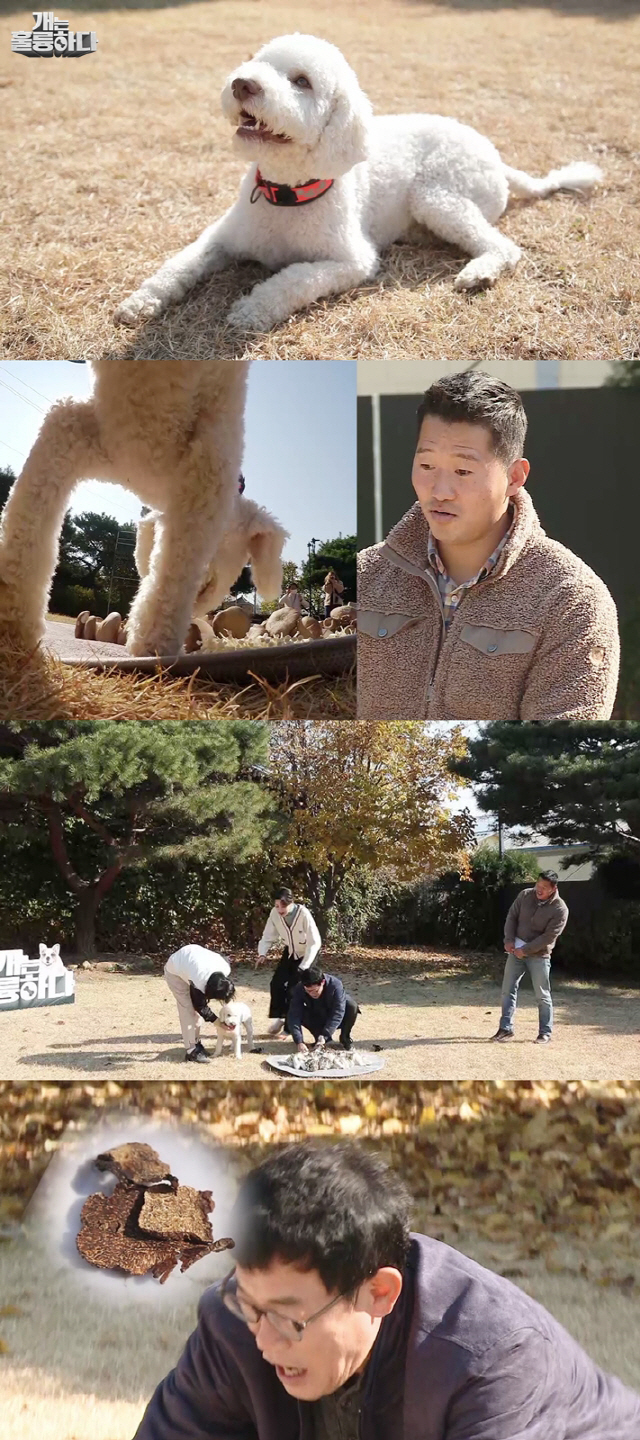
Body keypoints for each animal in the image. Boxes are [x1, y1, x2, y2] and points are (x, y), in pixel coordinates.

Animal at [0, 362, 286, 656]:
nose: (197, 618)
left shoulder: (82, 433)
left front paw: (12, 626)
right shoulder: (210, 465)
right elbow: (177, 563)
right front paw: (156, 643)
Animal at [115, 32, 599, 332]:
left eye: (302, 82)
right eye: (256, 62)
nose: (241, 83)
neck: (286, 194)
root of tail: (497, 159)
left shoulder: (351, 261)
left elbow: (292, 279)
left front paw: (251, 308)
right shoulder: (220, 238)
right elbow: (180, 263)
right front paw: (139, 302)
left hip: (436, 195)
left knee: (503, 246)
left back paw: (478, 273)